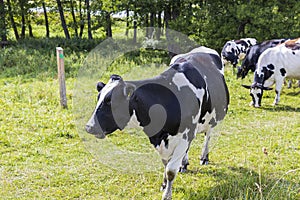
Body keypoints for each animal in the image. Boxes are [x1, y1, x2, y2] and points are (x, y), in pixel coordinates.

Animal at [85, 47, 230, 200]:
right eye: (98, 98)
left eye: (111, 102)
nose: (89, 127)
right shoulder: (160, 140)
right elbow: (165, 164)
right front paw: (165, 185)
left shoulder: (185, 135)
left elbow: (170, 170)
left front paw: (167, 194)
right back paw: (184, 164)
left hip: (214, 117)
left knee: (208, 136)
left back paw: (204, 157)